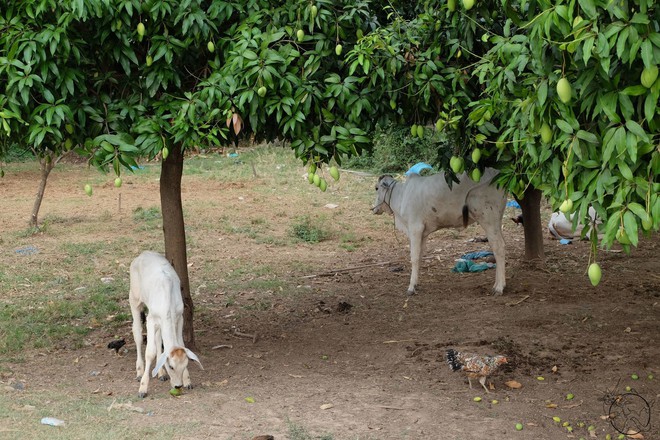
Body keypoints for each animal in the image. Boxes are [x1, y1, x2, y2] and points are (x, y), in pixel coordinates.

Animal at [128, 251, 201, 398]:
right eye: (171, 366)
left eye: (185, 364)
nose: (178, 386)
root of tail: (143, 254)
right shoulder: (151, 319)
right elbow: (149, 352)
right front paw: (142, 389)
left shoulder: (179, 318)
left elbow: (179, 344)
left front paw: (188, 381)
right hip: (134, 298)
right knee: (137, 333)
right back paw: (139, 371)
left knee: (157, 339)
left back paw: (161, 373)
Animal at [374, 168, 508, 296]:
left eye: (376, 188)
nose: (374, 209)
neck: (401, 195)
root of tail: (499, 173)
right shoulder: (423, 233)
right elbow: (420, 256)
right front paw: (416, 284)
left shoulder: (415, 228)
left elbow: (414, 258)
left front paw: (411, 287)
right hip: (496, 221)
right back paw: (497, 285)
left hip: (488, 219)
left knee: (499, 247)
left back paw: (499, 288)